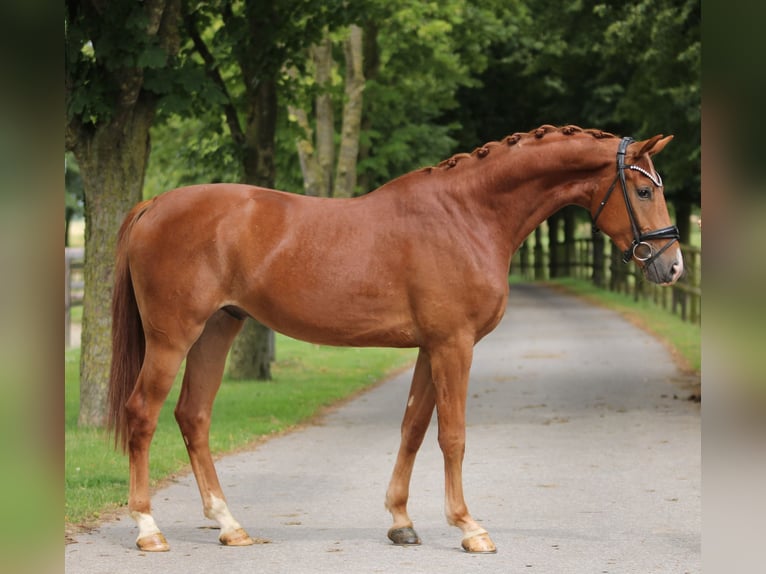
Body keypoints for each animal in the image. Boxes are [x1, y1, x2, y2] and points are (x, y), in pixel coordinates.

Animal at [106, 125, 684, 552]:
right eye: (644, 190)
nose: (672, 265)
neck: (466, 215)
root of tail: (155, 204)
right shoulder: (454, 345)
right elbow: (453, 435)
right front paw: (469, 527)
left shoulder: (431, 347)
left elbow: (413, 428)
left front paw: (401, 522)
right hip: (173, 338)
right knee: (143, 414)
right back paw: (149, 530)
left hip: (218, 329)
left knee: (193, 416)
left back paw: (229, 525)